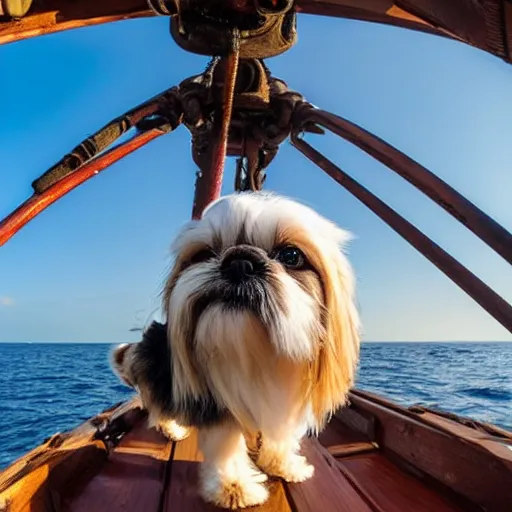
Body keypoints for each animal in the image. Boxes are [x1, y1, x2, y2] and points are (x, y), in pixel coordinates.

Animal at [112, 191, 360, 508]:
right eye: (203, 255)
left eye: (291, 256)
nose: (239, 261)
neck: (252, 354)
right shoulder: (218, 405)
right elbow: (226, 446)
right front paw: (234, 487)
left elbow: (280, 438)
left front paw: (283, 465)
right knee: (158, 405)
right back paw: (174, 428)